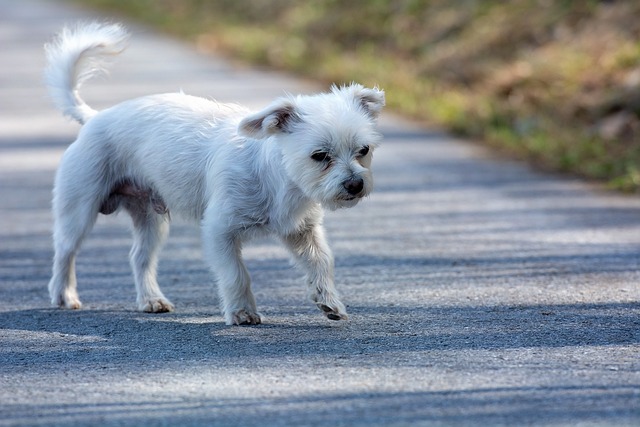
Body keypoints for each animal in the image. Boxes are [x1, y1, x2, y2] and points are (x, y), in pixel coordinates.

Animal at [46, 21, 384, 326]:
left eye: (363, 150)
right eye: (320, 156)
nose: (355, 184)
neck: (281, 181)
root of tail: (94, 118)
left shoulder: (302, 232)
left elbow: (322, 262)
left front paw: (329, 302)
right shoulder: (220, 231)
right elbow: (237, 274)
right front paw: (242, 312)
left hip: (151, 221)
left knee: (140, 258)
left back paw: (151, 299)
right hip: (79, 209)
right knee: (65, 251)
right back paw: (64, 295)